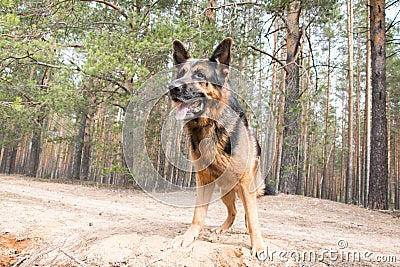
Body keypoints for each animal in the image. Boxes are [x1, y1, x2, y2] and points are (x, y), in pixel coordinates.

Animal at [167, 37, 274, 260]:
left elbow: (253, 219)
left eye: (200, 75)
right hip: (225, 191)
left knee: (246, 212)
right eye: (180, 75)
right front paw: (189, 236)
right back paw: (222, 228)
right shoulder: (203, 179)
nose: (172, 88)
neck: (211, 126)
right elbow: (198, 214)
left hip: (245, 187)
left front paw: (258, 246)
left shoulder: (245, 184)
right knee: (233, 211)